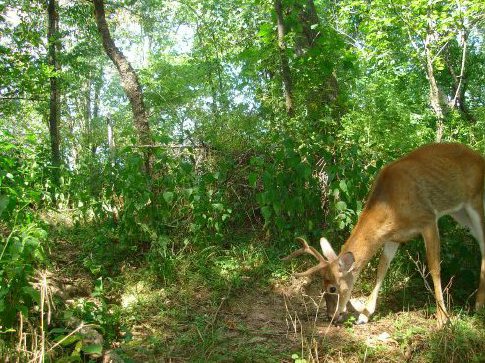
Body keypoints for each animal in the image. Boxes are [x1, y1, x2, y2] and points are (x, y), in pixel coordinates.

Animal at [284, 144, 484, 328]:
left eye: (332, 288)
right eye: (322, 286)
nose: (331, 316)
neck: (392, 205)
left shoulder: (428, 219)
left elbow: (434, 267)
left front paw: (443, 318)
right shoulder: (393, 237)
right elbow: (382, 268)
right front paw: (364, 315)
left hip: (476, 201)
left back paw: (479, 305)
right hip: (460, 212)